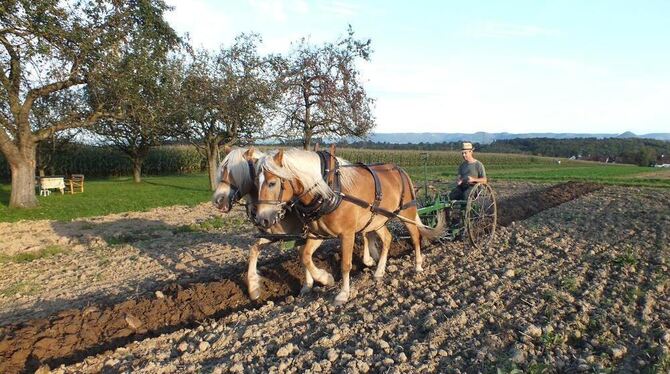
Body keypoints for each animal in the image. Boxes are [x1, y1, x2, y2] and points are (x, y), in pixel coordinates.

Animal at [214, 148, 384, 300]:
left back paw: (370, 259)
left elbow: (304, 256)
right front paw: (254, 288)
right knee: (367, 231)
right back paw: (372, 257)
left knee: (366, 231)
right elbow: (255, 250)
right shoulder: (278, 235)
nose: (217, 200)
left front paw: (321, 279)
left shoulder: (302, 233)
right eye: (222, 170)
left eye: (233, 171)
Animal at [253, 148, 446, 306]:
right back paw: (379, 271)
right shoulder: (318, 234)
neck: (329, 189)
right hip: (378, 220)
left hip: (407, 212)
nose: (261, 220)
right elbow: (305, 255)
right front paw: (325, 278)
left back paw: (418, 265)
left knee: (415, 237)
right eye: (256, 183)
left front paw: (343, 294)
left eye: (272, 183)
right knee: (387, 239)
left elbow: (346, 264)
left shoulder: (347, 234)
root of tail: (400, 170)